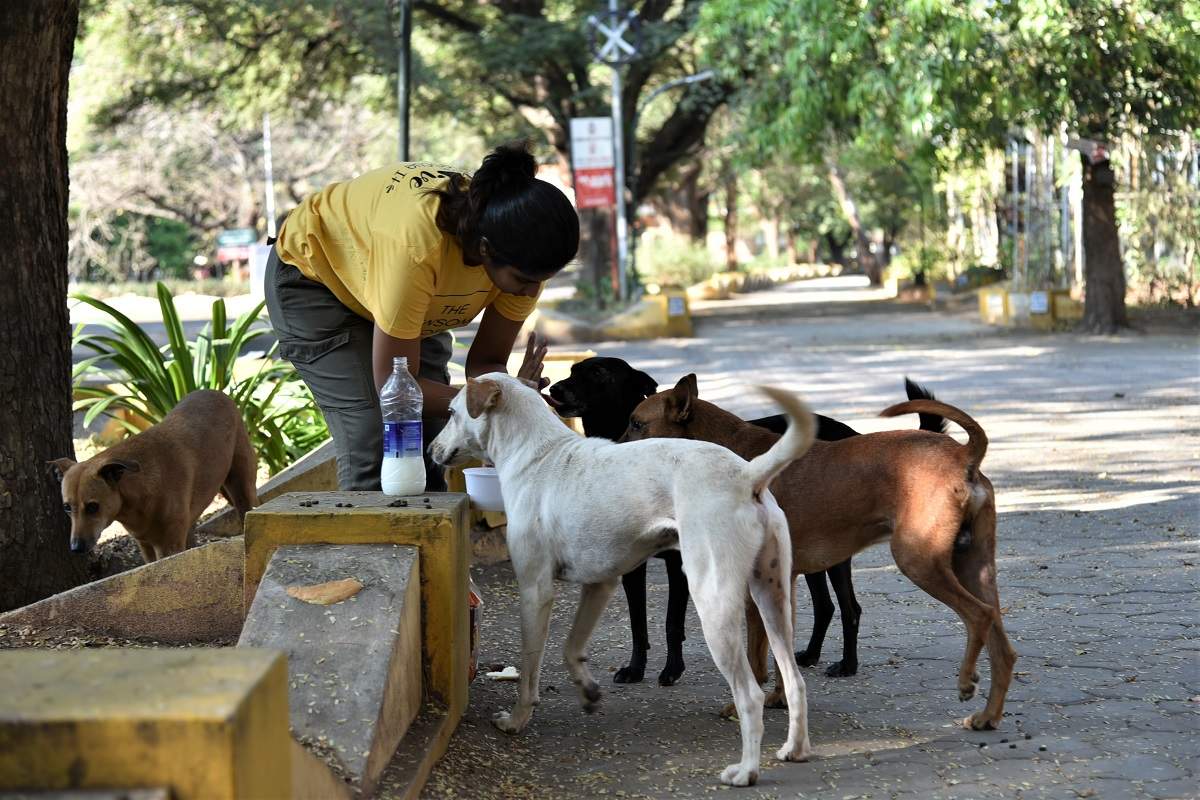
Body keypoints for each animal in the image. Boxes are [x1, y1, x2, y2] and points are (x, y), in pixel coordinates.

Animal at [52, 388, 259, 563]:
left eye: (93, 507)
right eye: (67, 507)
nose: (76, 548)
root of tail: (215, 391)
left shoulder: (169, 546)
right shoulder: (146, 546)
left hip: (241, 487)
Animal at [432, 376, 816, 786]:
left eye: (452, 412)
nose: (430, 449)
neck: (539, 455)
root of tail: (746, 476)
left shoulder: (535, 590)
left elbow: (530, 670)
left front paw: (517, 720)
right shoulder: (601, 584)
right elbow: (571, 648)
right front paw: (588, 692)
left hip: (714, 604)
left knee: (750, 696)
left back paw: (745, 771)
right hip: (773, 600)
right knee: (794, 681)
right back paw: (795, 750)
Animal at [547, 359, 945, 686]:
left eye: (637, 424)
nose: (611, 454)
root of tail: (850, 433)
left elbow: (682, 624)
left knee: (849, 609)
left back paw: (847, 664)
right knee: (827, 606)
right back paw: (811, 656)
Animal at [624, 376, 1017, 734]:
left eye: (637, 423)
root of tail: (963, 455)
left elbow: (756, 657)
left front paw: (744, 705)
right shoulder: (783, 582)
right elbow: (779, 651)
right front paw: (779, 698)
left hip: (919, 560)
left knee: (979, 617)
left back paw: (966, 682)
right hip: (974, 568)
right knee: (1002, 644)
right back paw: (989, 715)